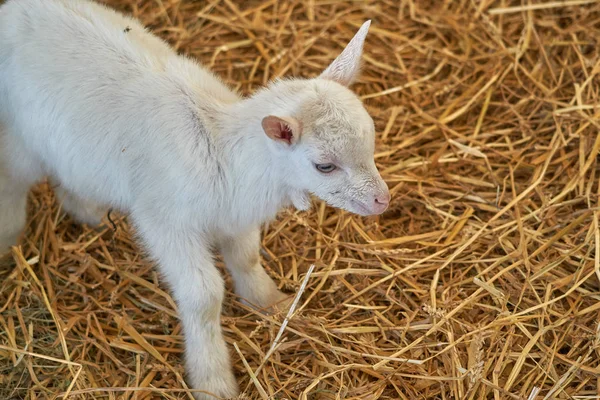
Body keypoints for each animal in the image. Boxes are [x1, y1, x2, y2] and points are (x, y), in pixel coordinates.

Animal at [0, 0, 390, 396]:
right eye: (324, 166)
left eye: (371, 140)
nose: (382, 201)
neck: (223, 153)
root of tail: (13, 11)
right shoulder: (166, 222)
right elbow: (204, 297)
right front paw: (213, 379)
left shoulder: (235, 214)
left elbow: (247, 257)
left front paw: (271, 303)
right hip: (18, 137)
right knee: (13, 183)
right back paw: (9, 240)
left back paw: (89, 212)